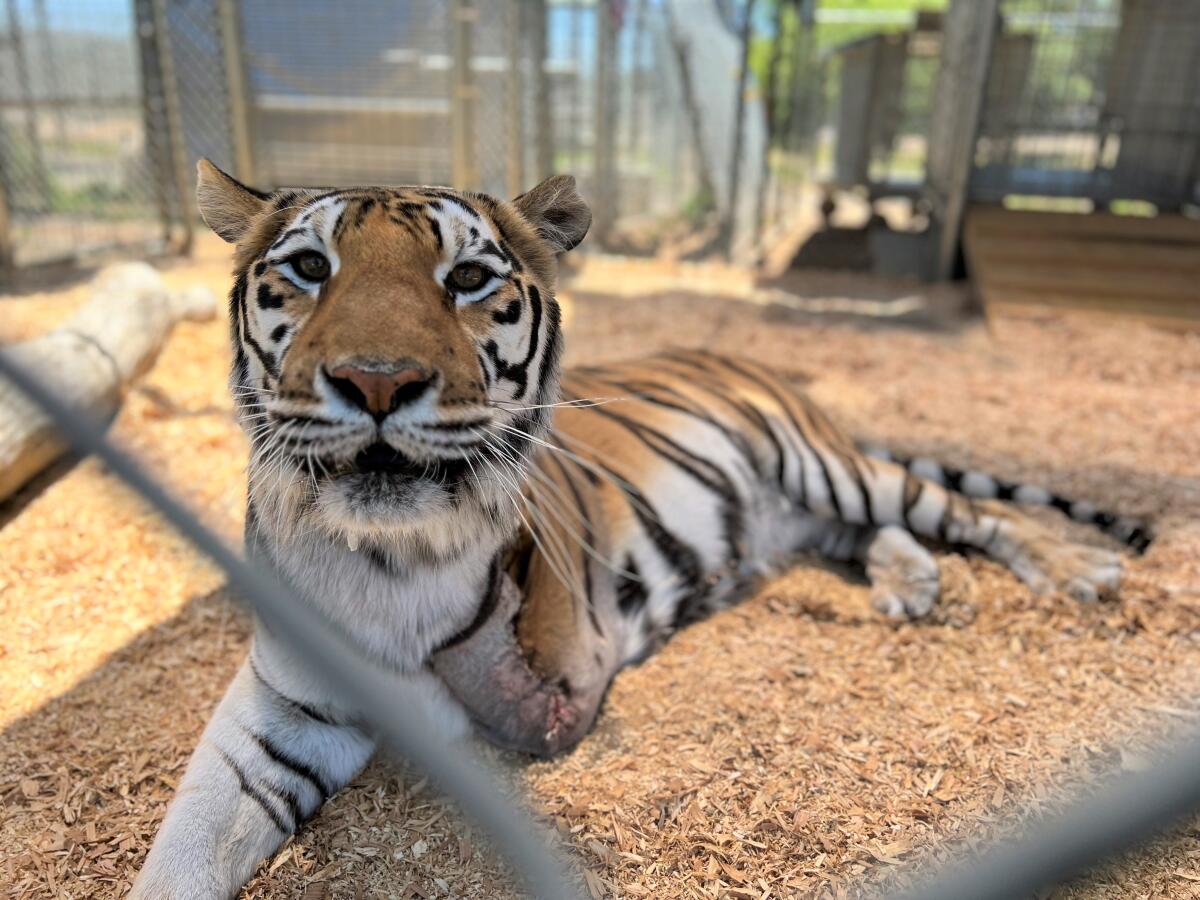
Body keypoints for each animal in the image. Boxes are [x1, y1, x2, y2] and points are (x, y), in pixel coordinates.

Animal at [129, 158, 1142, 897]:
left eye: (468, 278)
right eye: (309, 268)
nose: (379, 381)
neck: (388, 558)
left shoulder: (561, 681)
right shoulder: (279, 709)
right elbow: (184, 850)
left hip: (826, 468)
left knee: (966, 512)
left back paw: (1077, 568)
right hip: (804, 511)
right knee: (870, 539)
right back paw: (910, 584)